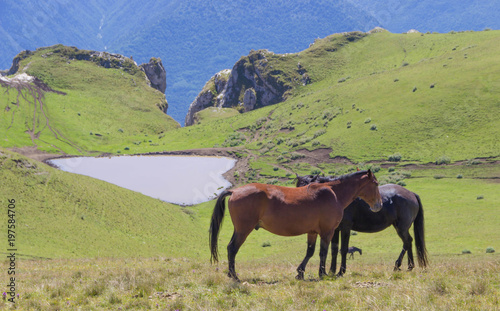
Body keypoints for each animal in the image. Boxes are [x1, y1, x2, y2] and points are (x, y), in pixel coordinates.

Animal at [209, 169, 380, 282]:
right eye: (376, 183)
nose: (379, 205)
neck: (333, 193)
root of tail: (234, 191)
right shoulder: (327, 231)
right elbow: (323, 252)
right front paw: (322, 274)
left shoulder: (313, 232)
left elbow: (310, 252)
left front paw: (300, 272)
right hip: (244, 230)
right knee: (232, 248)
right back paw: (234, 276)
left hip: (239, 229)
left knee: (230, 248)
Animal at [296, 174, 430, 276]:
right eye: (297, 187)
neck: (337, 196)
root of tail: (411, 194)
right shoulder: (334, 230)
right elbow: (334, 249)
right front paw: (332, 271)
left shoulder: (345, 228)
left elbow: (343, 249)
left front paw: (341, 271)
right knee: (409, 242)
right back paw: (410, 266)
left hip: (401, 227)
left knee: (407, 242)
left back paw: (398, 265)